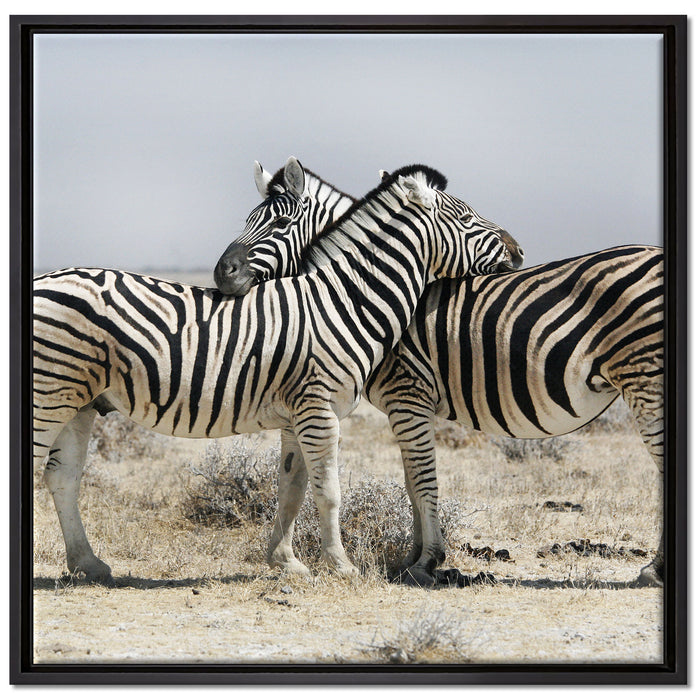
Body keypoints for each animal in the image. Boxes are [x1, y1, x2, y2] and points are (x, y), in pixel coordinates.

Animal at [33, 160, 519, 584]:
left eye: (280, 223)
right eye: (467, 218)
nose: (517, 250)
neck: (342, 301)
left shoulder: (299, 414)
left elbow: (292, 487)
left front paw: (287, 563)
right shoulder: (319, 410)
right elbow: (328, 491)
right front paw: (341, 567)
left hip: (78, 402)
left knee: (62, 477)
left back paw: (88, 564)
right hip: (48, 395)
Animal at [214, 164, 664, 588]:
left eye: (279, 223)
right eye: (249, 219)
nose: (221, 274)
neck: (358, 292)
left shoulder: (407, 395)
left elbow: (423, 480)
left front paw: (427, 562)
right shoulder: (407, 406)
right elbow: (412, 482)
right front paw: (413, 559)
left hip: (645, 378)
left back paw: (654, 570)